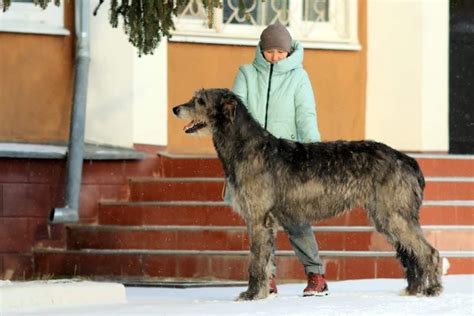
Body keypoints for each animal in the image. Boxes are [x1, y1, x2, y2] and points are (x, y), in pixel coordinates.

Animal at [172, 87, 442, 300]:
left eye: (200, 100)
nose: (175, 108)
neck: (246, 147)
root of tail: (408, 159)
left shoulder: (258, 219)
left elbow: (256, 262)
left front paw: (251, 295)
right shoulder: (266, 223)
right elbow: (267, 262)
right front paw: (264, 293)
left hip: (395, 214)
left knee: (429, 252)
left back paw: (433, 289)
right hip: (385, 217)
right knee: (411, 252)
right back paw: (415, 289)